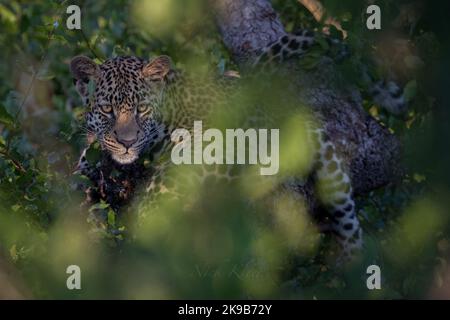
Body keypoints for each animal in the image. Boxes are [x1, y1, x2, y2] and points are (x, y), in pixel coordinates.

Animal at [71, 31, 408, 264]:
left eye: (141, 109)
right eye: (107, 110)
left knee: (347, 216)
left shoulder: (226, 139)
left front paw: (146, 215)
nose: (127, 143)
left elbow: (176, 172)